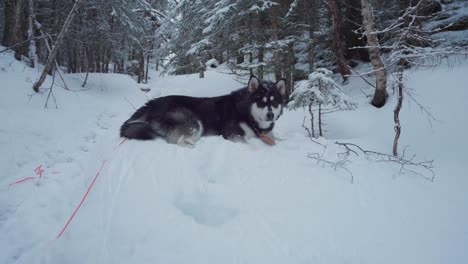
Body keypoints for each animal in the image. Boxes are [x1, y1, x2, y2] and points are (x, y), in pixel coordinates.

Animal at [119, 76, 286, 146]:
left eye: (274, 102)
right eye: (261, 102)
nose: (270, 115)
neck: (247, 113)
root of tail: (152, 103)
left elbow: (274, 140)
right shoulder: (232, 134)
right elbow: (251, 146)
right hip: (194, 122)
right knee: (176, 141)